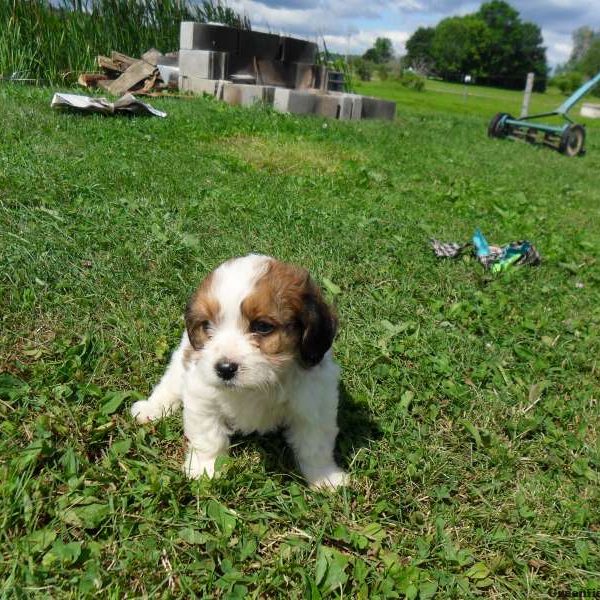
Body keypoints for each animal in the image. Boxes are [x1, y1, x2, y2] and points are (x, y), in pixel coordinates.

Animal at [131, 255, 346, 490]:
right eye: (207, 325)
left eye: (262, 326)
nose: (224, 369)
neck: (258, 385)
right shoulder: (202, 395)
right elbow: (208, 437)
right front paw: (207, 469)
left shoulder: (314, 402)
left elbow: (315, 445)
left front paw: (325, 477)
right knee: (169, 385)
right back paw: (151, 408)